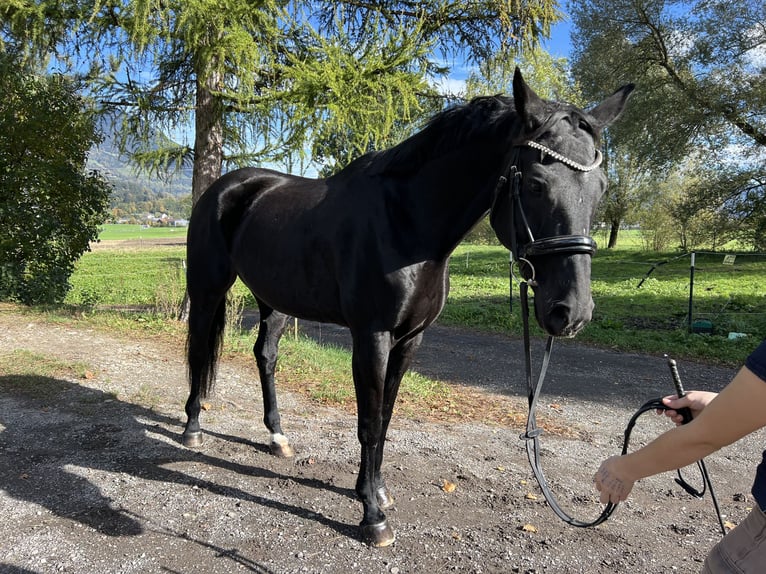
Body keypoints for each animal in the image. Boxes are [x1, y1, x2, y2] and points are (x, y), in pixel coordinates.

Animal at [183, 70, 632, 548]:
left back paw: (278, 438)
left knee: (265, 356)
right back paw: (192, 428)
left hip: (276, 301)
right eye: (535, 183)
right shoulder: (372, 337)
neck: (406, 225)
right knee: (199, 349)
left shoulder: (410, 340)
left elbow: (385, 418)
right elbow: (368, 421)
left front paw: (376, 490)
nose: (572, 312)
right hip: (208, 289)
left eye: (601, 189)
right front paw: (372, 517)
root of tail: (225, 188)